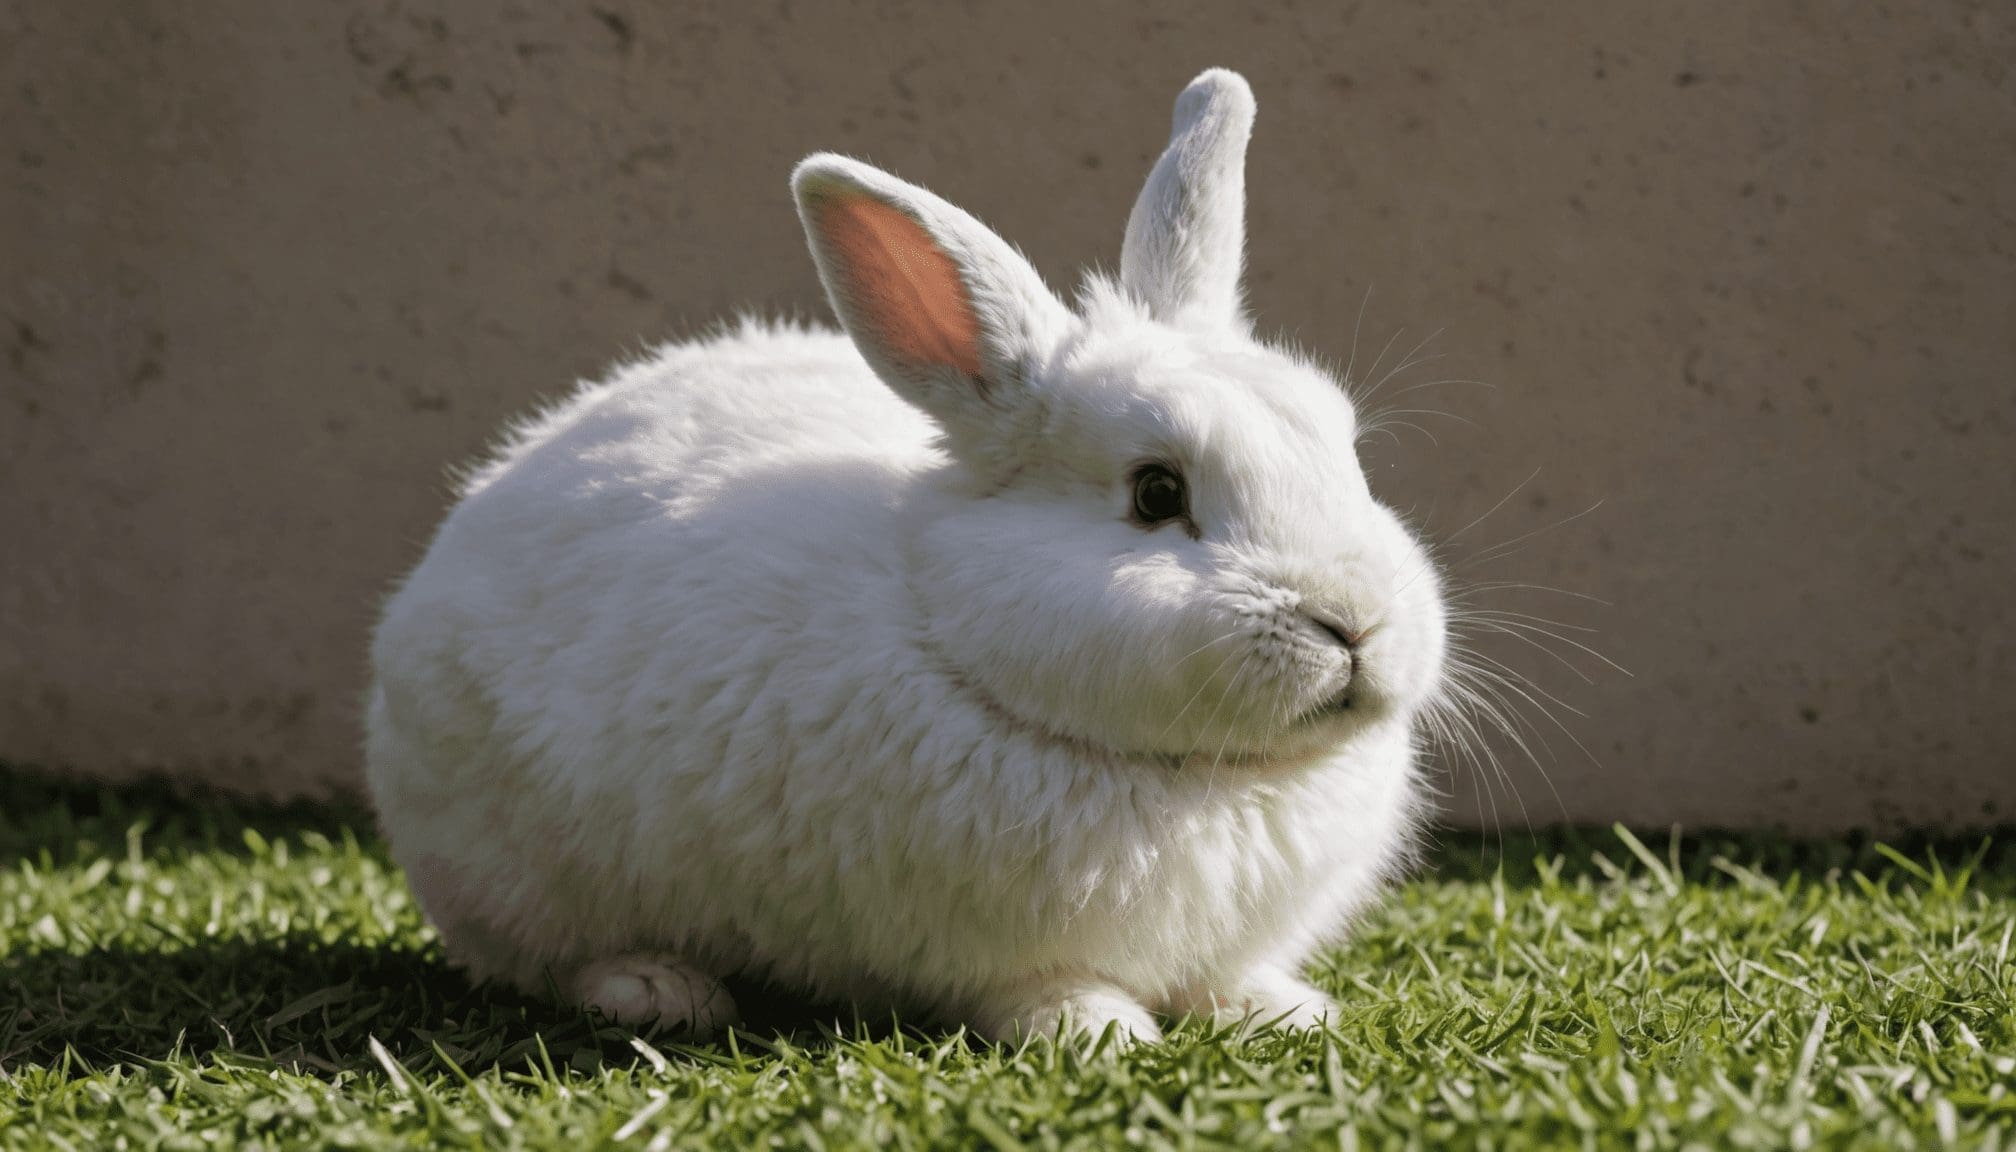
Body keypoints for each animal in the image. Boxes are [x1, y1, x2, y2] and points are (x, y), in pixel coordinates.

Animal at [363, 67, 1447, 1045]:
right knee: (544, 959)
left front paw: (1287, 1013)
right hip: (518, 873)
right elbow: (1042, 988)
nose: (1356, 622)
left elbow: (1225, 981)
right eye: (1156, 494)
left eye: (1347, 452)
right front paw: (1097, 1031)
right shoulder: (995, 952)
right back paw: (656, 989)